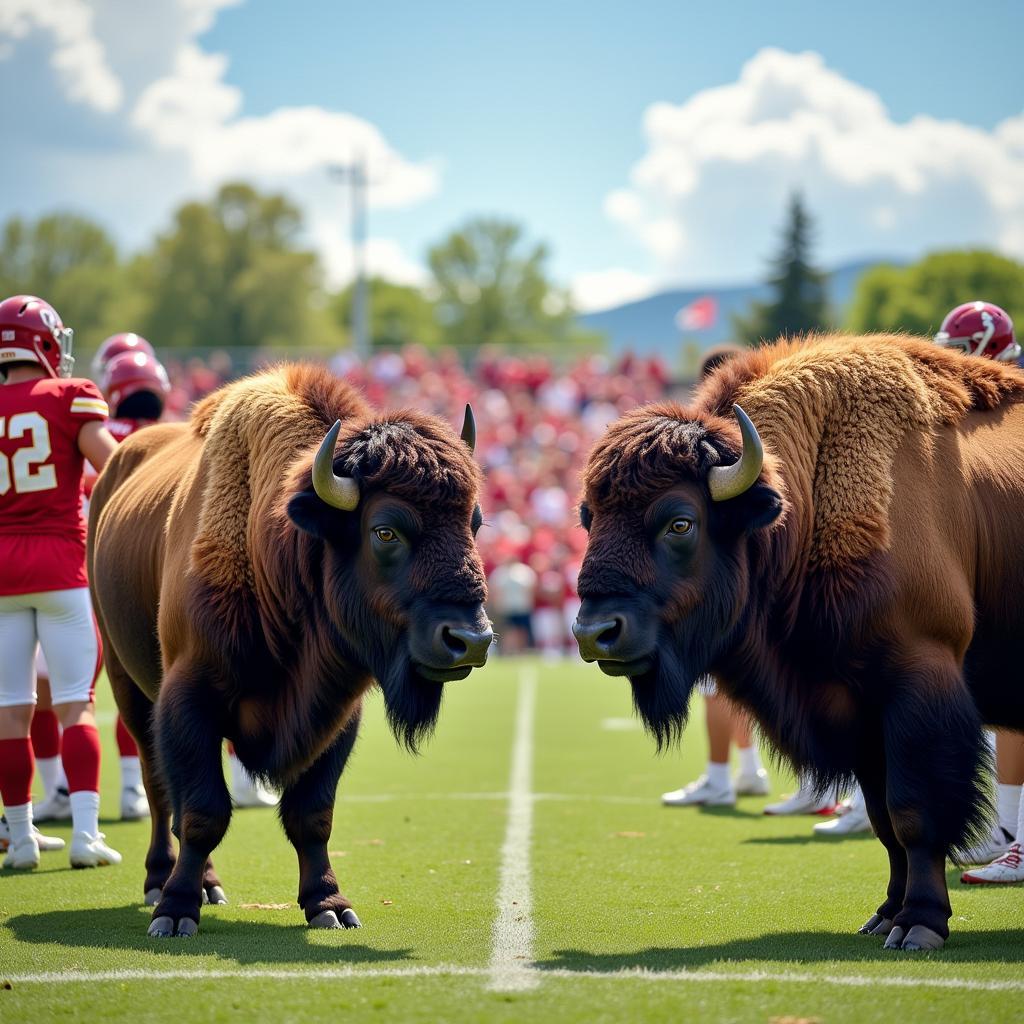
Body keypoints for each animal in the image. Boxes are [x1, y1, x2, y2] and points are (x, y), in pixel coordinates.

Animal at [86, 364, 489, 937]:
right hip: (128, 685)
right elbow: (204, 812)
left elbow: (311, 814)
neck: (275, 549)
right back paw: (163, 882)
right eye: (384, 530)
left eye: (473, 523)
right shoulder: (187, 700)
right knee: (160, 788)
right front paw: (175, 911)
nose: (470, 640)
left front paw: (329, 905)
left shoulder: (335, 714)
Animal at [573, 335, 1024, 950]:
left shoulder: (919, 683)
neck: (808, 495)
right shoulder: (858, 713)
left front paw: (919, 925)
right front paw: (885, 915)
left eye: (680, 522)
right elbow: (884, 820)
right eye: (588, 518)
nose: (594, 632)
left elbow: (914, 813)